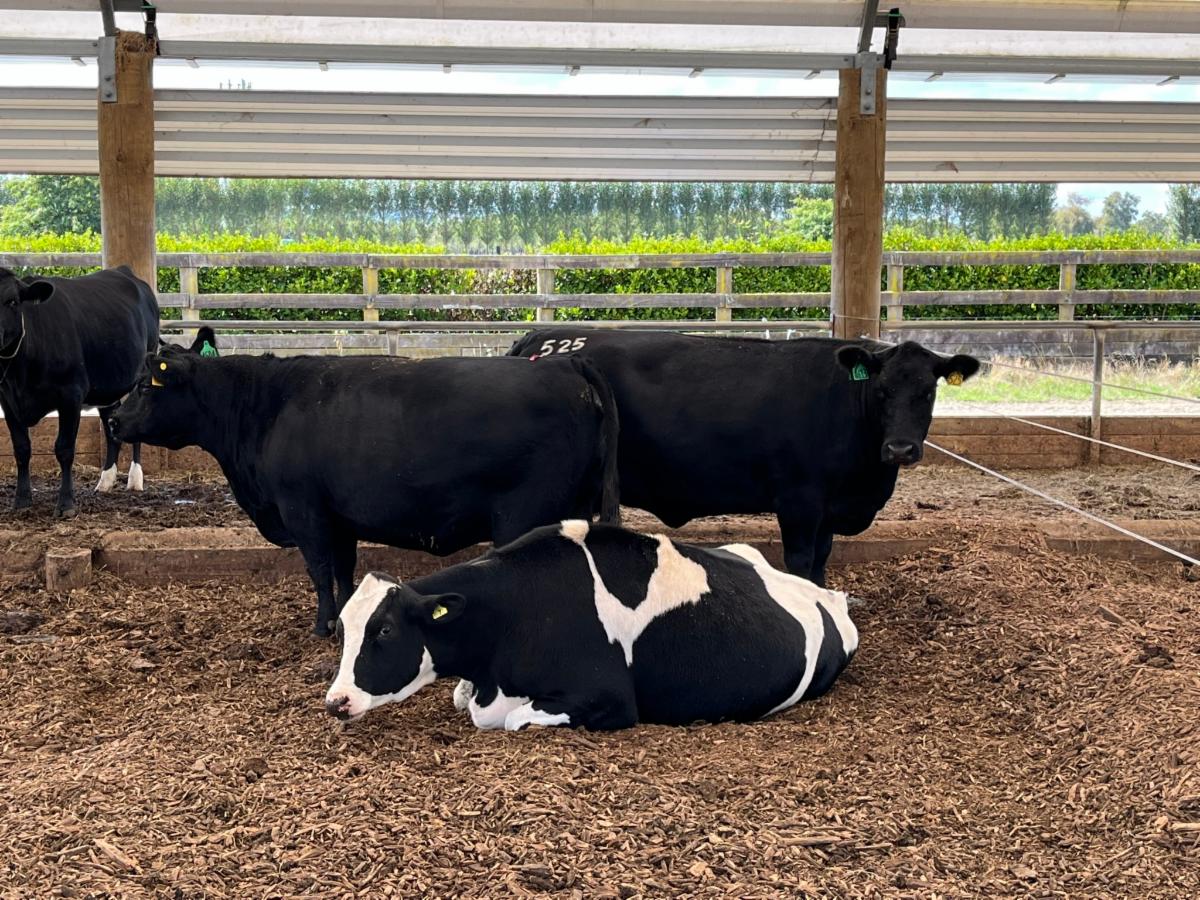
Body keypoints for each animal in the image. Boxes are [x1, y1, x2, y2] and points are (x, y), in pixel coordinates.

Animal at [0, 265, 159, 518]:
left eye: (12, 301)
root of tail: (124, 271)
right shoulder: (7, 399)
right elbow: (21, 448)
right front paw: (22, 500)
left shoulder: (71, 395)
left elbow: (64, 448)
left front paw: (66, 504)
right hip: (108, 387)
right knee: (111, 426)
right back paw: (105, 481)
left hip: (141, 374)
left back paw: (135, 479)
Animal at [110, 344, 620, 636]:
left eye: (144, 386)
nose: (113, 419)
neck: (264, 406)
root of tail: (566, 364)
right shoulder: (341, 520)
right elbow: (342, 570)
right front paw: (344, 615)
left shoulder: (304, 511)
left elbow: (318, 570)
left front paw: (323, 626)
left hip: (525, 513)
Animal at [324, 519, 859, 730]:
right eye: (343, 630)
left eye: (385, 630)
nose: (336, 701)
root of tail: (828, 595)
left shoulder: (609, 698)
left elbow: (513, 719)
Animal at [508, 330, 980, 587]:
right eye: (882, 390)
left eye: (928, 391)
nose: (900, 448)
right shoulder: (799, 501)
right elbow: (801, 561)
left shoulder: (827, 507)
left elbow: (823, 558)